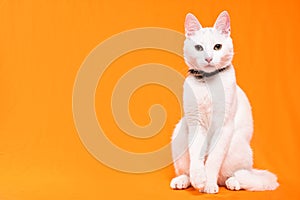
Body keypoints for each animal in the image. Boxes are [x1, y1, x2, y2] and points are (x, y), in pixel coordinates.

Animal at [170, 10, 278, 194]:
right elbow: (197, 156)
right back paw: (183, 180)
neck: (208, 82)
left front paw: (208, 184)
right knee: (186, 171)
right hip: (179, 136)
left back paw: (232, 183)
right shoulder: (196, 123)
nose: (208, 58)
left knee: (233, 175)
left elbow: (213, 160)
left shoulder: (224, 126)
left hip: (238, 147)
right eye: (199, 48)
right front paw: (199, 179)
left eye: (217, 47)